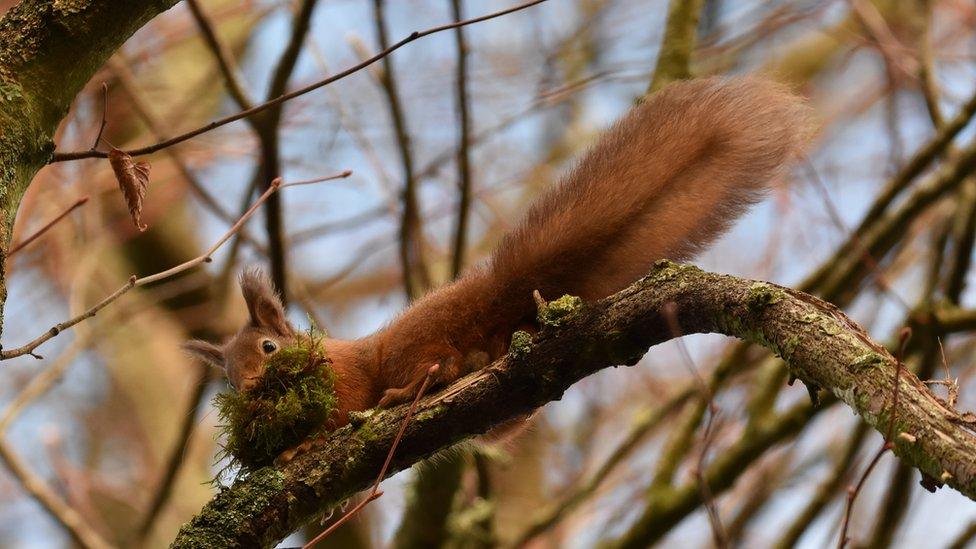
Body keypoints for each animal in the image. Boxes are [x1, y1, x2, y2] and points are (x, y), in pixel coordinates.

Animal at [187, 76, 812, 428]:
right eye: (228, 378)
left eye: (268, 348)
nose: (248, 391)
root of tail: (489, 298)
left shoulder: (340, 382)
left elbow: (334, 412)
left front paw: (298, 444)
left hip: (415, 346)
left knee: (434, 366)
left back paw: (409, 389)